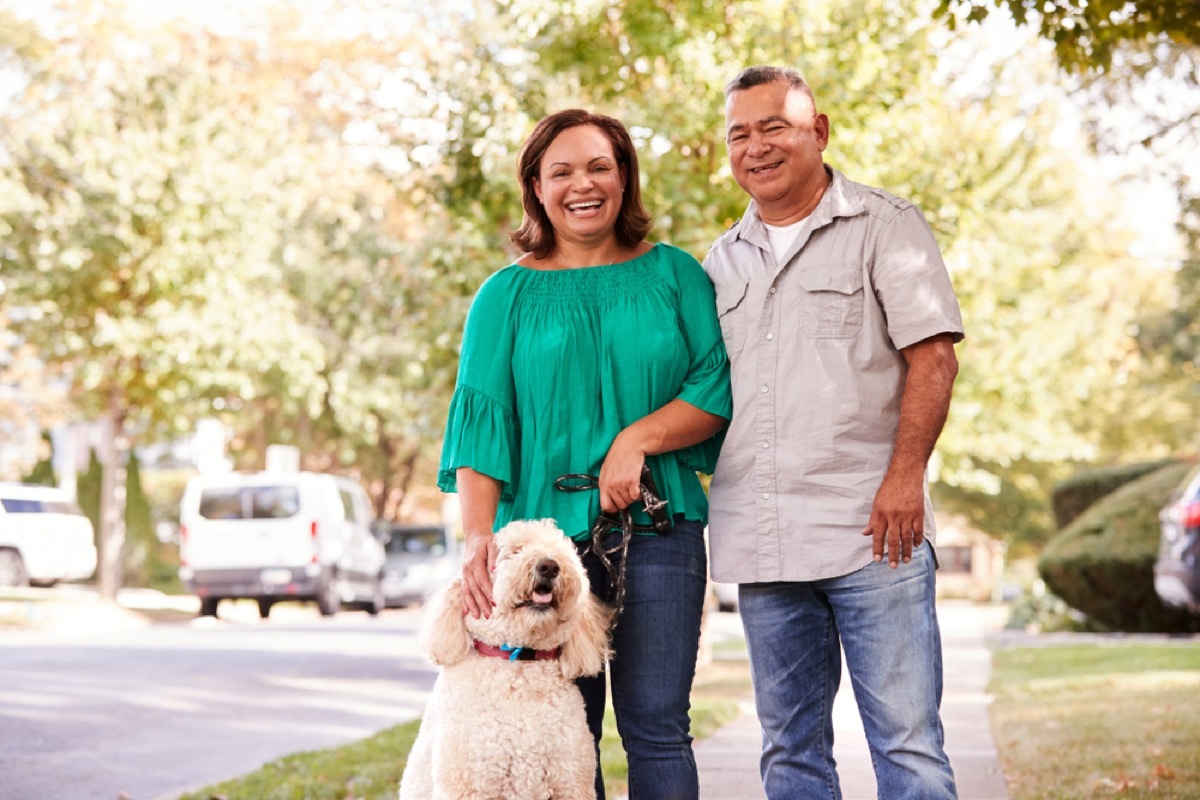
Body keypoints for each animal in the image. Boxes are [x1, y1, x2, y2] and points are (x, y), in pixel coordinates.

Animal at [398, 520, 614, 800]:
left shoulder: (571, 783)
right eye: (513, 552)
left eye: (562, 552)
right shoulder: (466, 786)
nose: (549, 566)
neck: (520, 663)